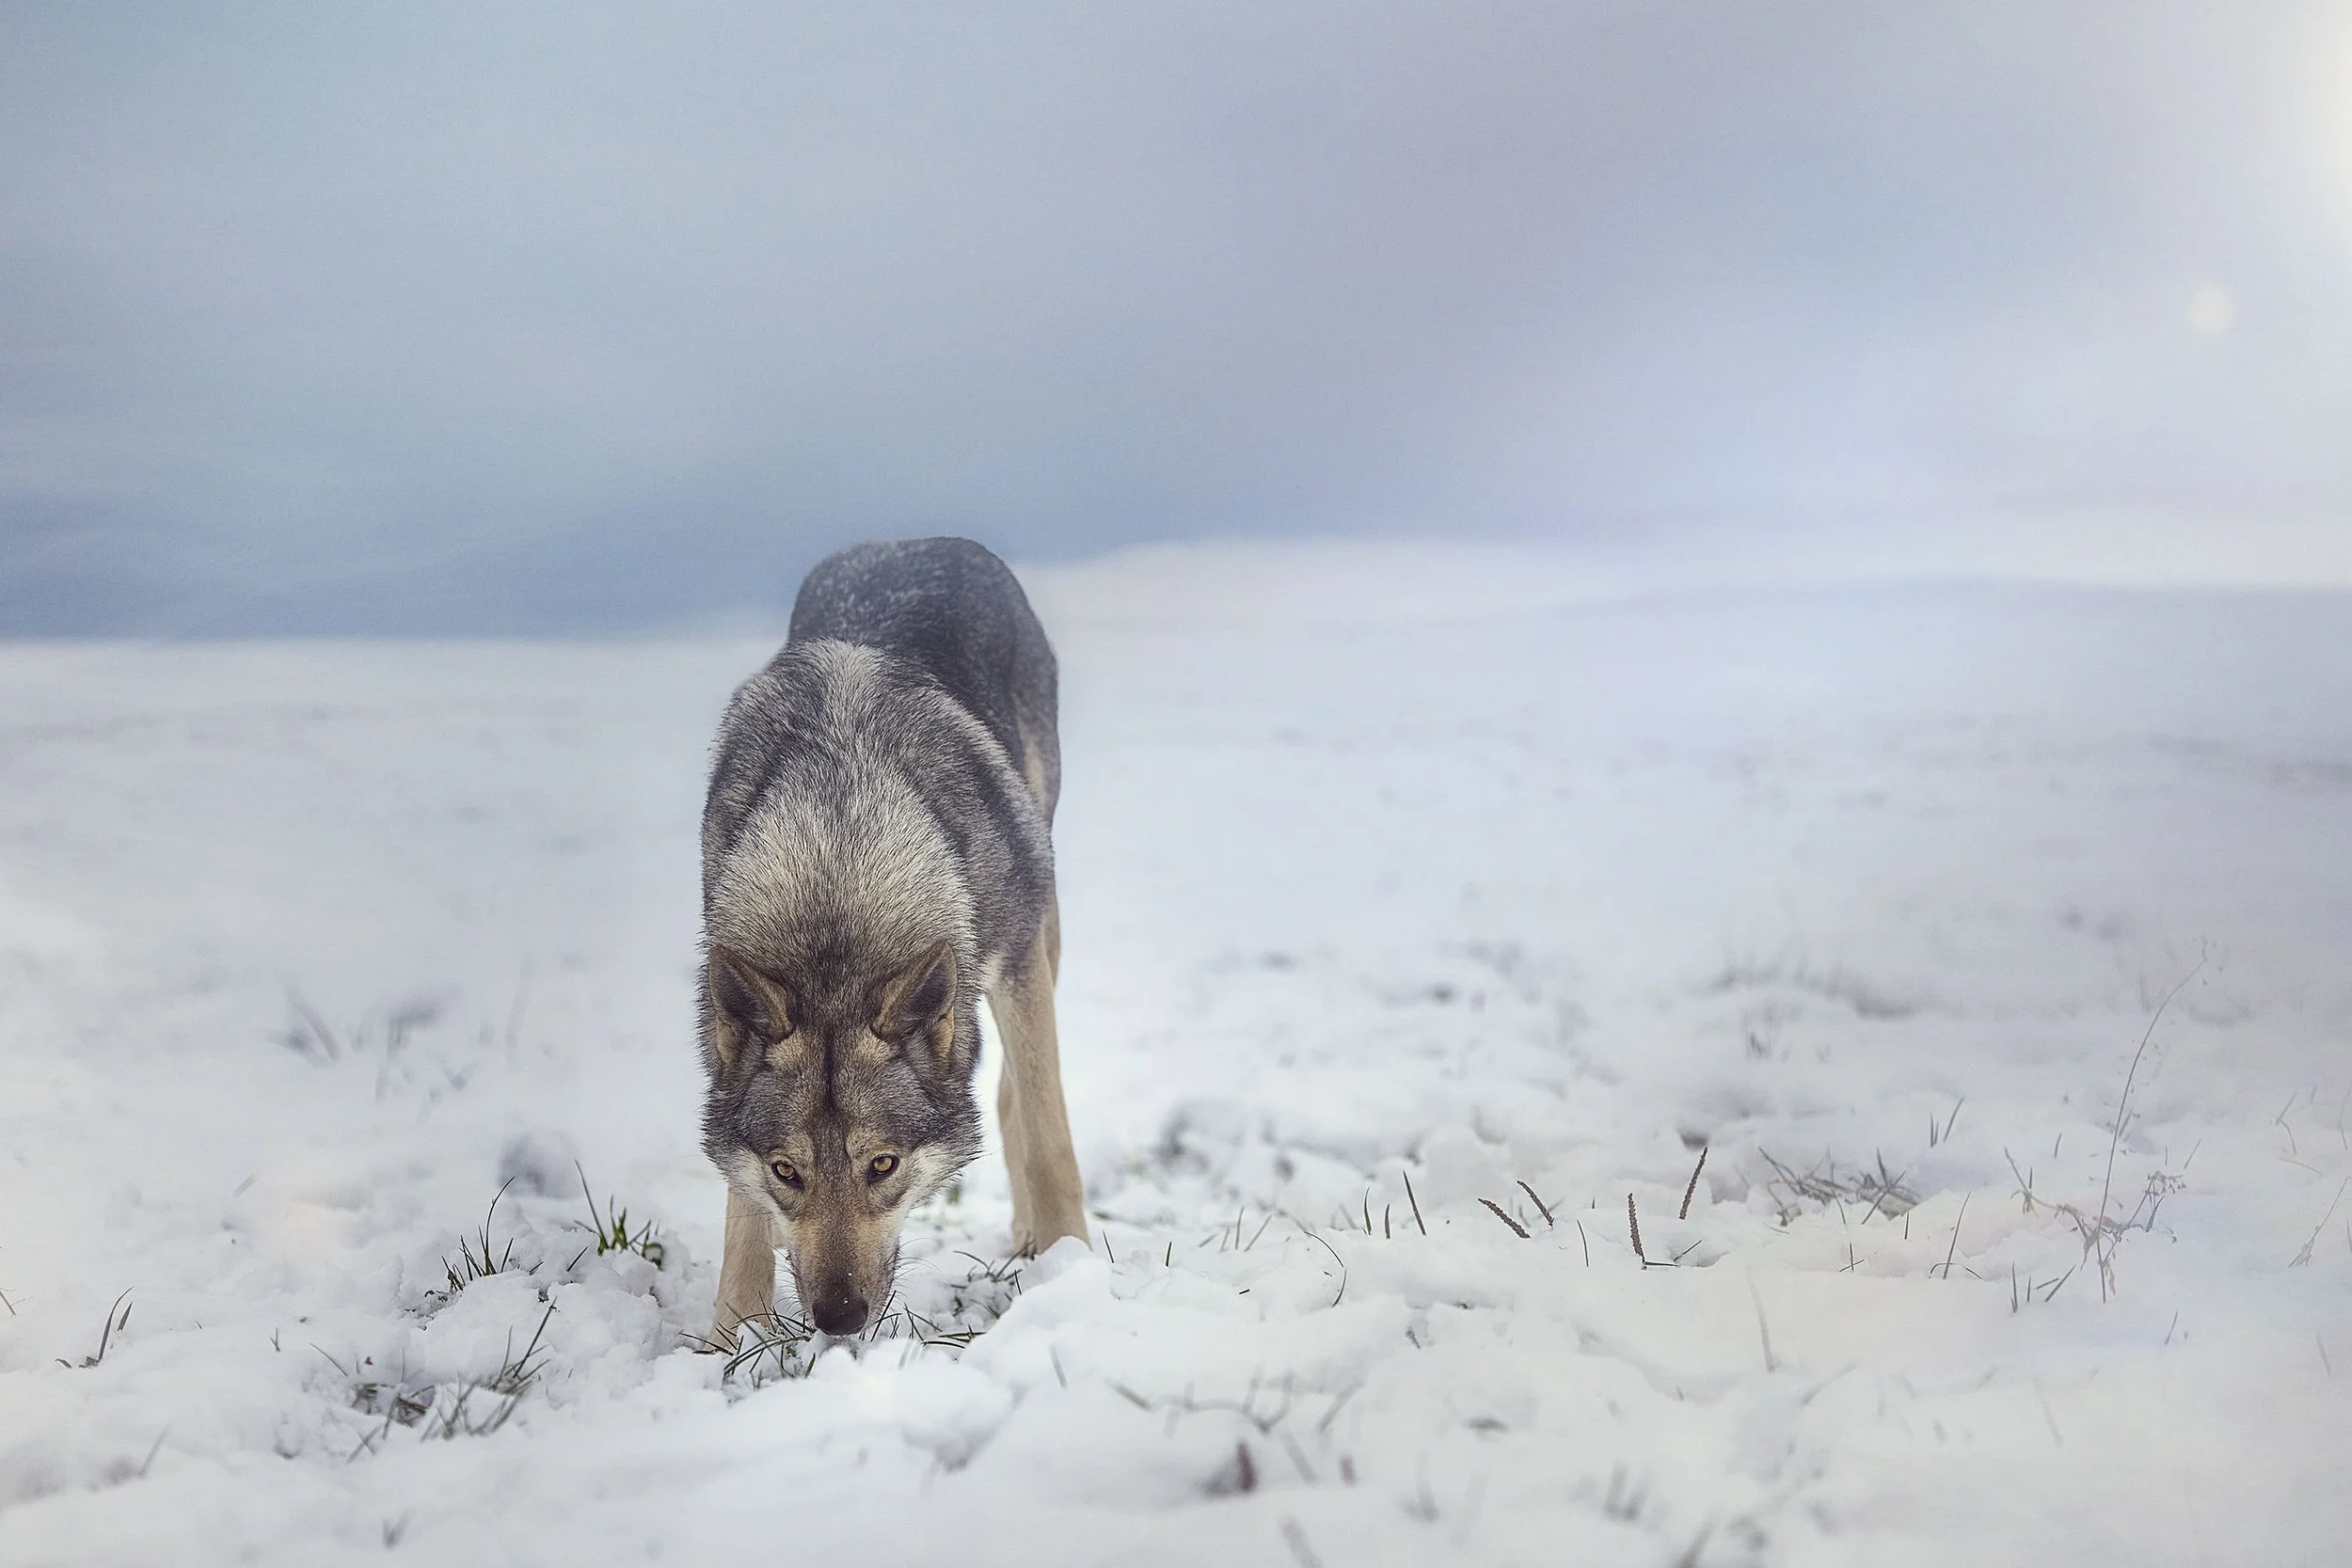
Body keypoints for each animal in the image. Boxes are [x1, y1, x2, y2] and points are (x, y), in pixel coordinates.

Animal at [697, 537, 1087, 1345]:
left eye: (883, 1164)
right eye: (787, 1170)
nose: (838, 1318)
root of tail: (916, 541)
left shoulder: (1015, 963)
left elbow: (1051, 1137)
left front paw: (1078, 1273)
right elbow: (738, 1203)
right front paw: (735, 1334)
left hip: (1042, 925)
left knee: (1016, 1094)